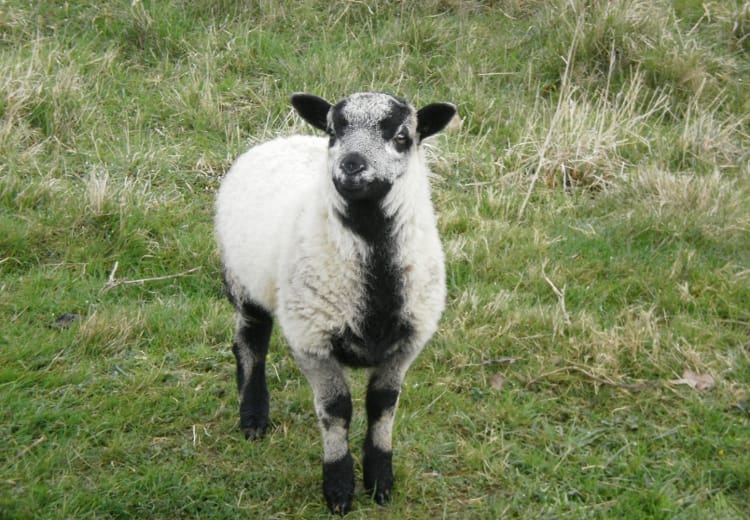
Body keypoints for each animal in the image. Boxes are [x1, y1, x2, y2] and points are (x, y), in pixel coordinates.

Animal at [214, 91, 456, 512]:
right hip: (244, 283)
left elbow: (382, 405)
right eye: (332, 132)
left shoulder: (408, 343)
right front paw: (339, 486)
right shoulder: (312, 341)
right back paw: (253, 417)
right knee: (250, 344)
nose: (351, 165)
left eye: (402, 137)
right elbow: (336, 410)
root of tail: (278, 140)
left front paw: (380, 480)